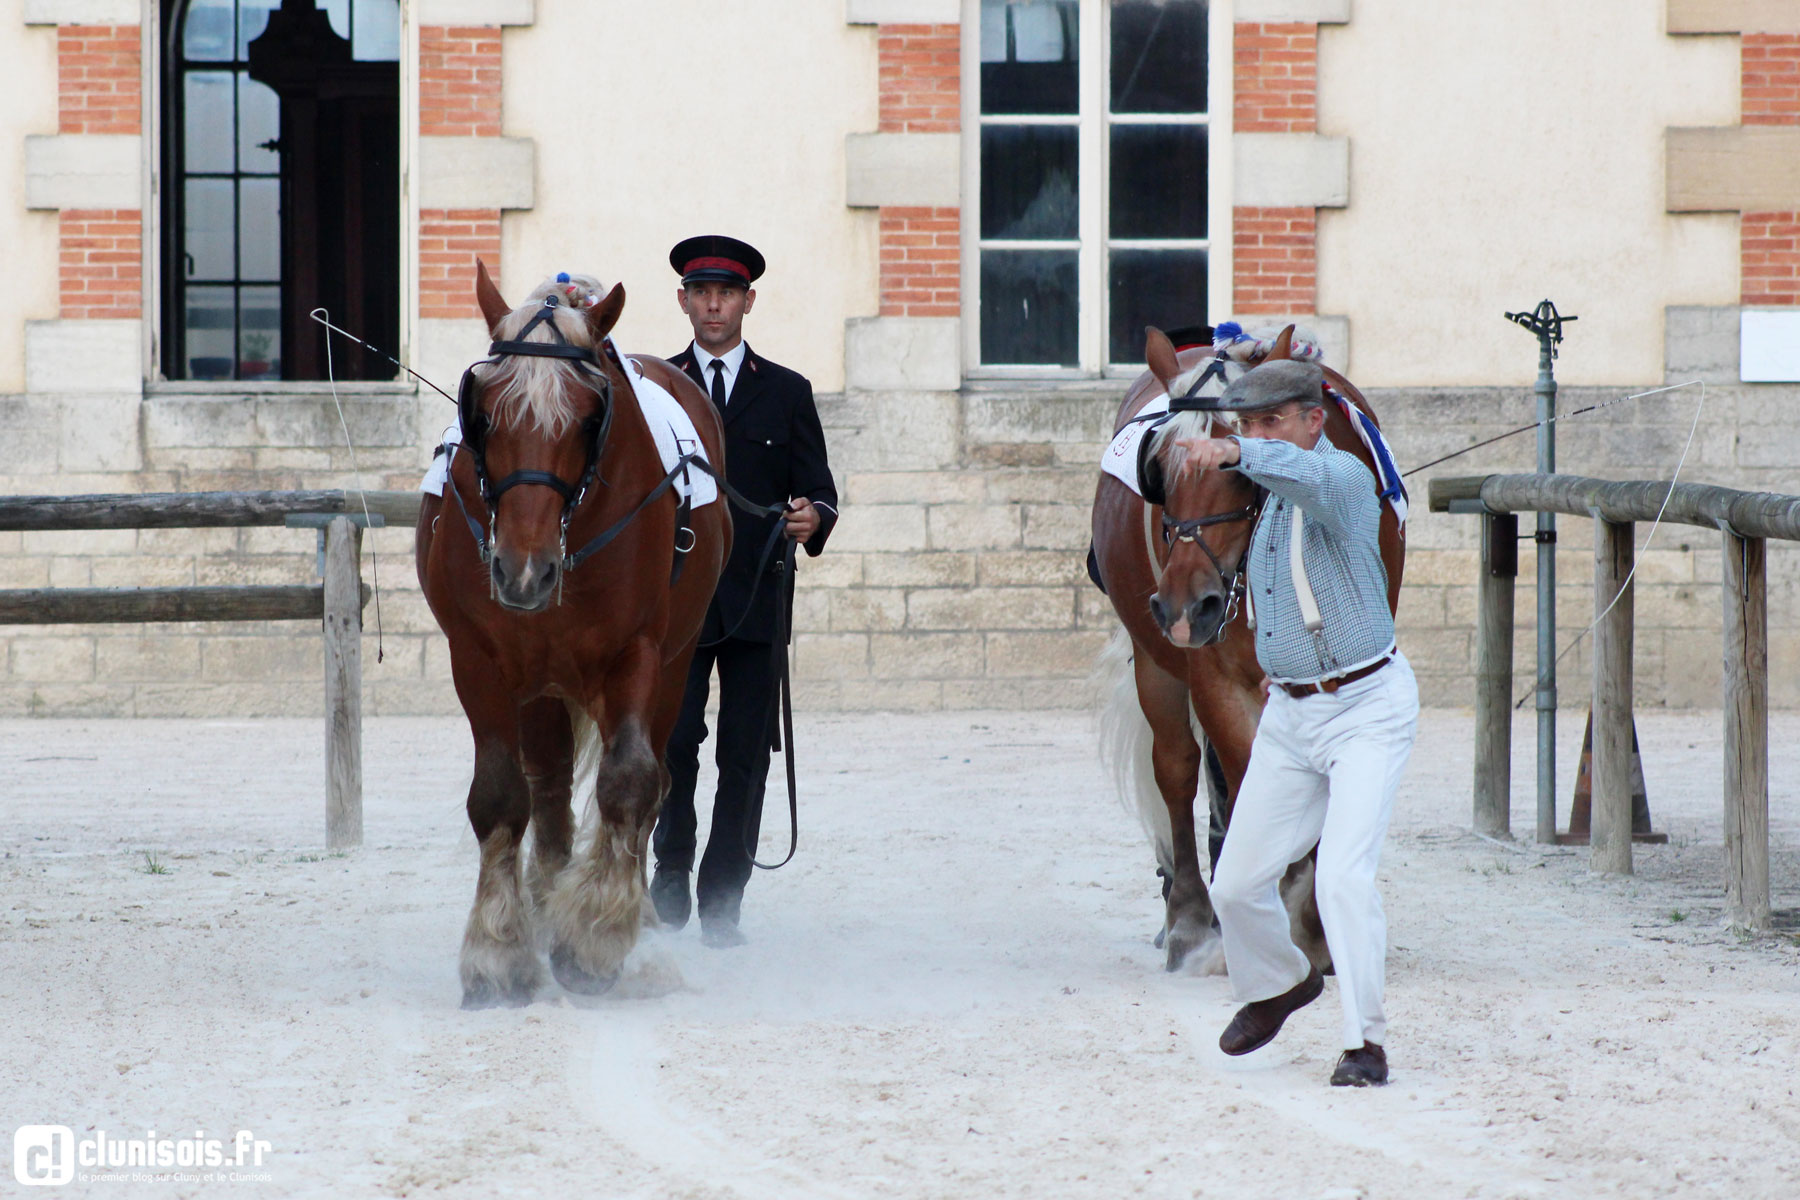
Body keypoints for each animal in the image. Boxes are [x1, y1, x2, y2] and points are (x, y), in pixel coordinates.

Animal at [414, 262, 730, 1007]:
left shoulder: (637, 655)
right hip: (540, 685)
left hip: (671, 665)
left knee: (652, 777)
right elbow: (501, 795)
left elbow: (630, 781)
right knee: (551, 790)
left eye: (589, 418)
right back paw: (547, 890)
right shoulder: (480, 661)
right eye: (483, 411)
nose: (524, 570)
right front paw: (498, 950)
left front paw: (595, 937)